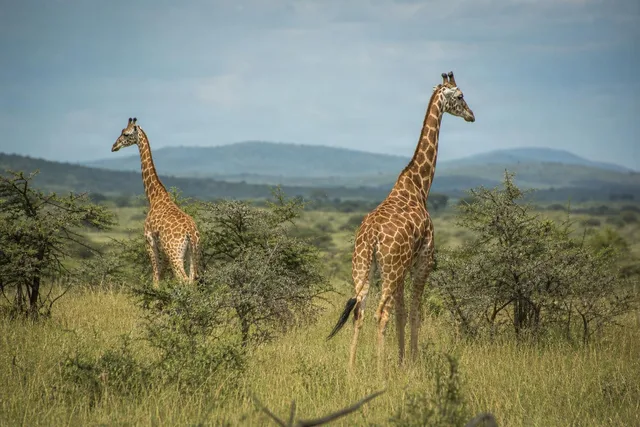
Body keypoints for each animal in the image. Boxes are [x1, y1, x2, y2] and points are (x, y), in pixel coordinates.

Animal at [111, 117, 201, 286]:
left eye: (126, 134)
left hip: (175, 253)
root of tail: (190, 233)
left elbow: (155, 278)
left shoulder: (149, 240)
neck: (154, 197)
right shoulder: (163, 249)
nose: (114, 146)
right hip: (193, 253)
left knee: (183, 279)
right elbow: (162, 275)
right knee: (192, 280)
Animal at [328, 71, 475, 370]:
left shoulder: (404, 268)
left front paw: (402, 360)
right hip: (390, 268)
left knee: (359, 311)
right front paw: (412, 362)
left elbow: (402, 312)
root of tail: (372, 237)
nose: (472, 115)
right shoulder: (423, 261)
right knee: (380, 313)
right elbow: (415, 311)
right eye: (460, 95)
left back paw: (351, 370)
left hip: (363, 266)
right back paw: (379, 372)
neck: (418, 186)